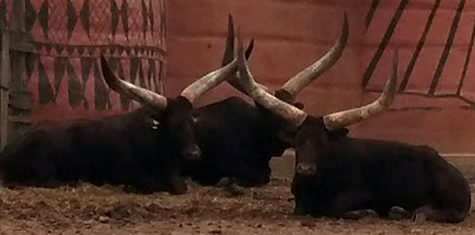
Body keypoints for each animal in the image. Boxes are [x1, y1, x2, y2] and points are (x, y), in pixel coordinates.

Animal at [0, 55, 238, 195]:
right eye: (171, 123)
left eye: (191, 120)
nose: (193, 153)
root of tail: (10, 147)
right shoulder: (127, 171)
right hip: (46, 171)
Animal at [232, 32, 470, 223]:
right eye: (297, 141)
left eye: (323, 143)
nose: (305, 169)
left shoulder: (360, 192)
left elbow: (333, 207)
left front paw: (366, 212)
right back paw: (399, 211)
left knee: (452, 212)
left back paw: (414, 212)